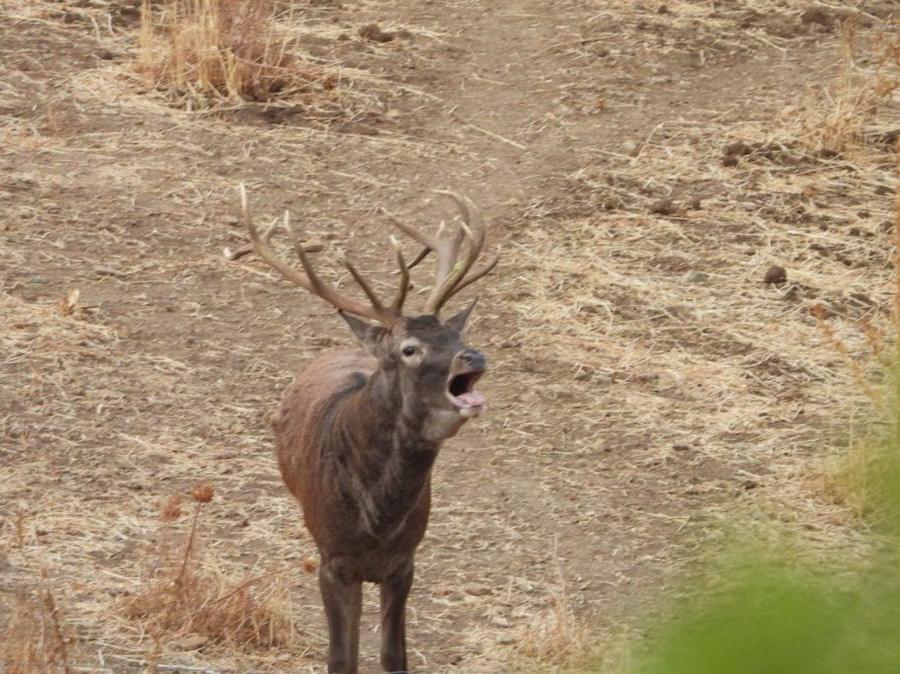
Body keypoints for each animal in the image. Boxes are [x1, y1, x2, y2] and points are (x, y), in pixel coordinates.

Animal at [230, 186, 499, 674]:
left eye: (454, 334)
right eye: (410, 349)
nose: (473, 355)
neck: (377, 521)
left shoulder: (405, 561)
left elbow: (394, 657)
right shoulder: (333, 561)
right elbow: (342, 658)